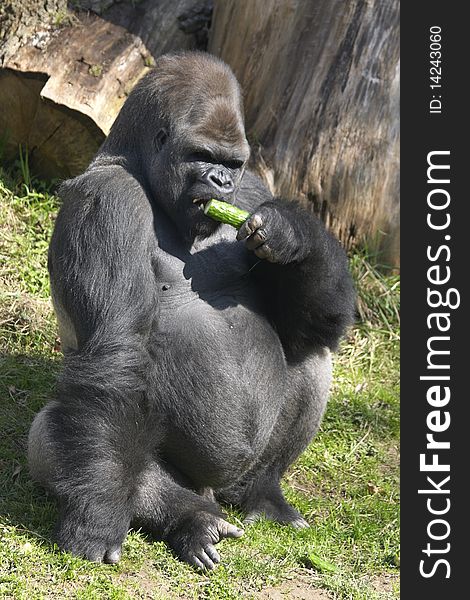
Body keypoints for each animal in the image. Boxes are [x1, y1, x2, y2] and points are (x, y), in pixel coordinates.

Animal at [27, 50, 354, 568]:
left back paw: (262, 494)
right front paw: (97, 521)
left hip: (239, 478)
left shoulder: (253, 190)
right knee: (58, 436)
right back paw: (188, 518)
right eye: (202, 156)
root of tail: (215, 491)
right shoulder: (108, 202)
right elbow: (117, 355)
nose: (220, 181)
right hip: (178, 476)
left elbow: (307, 321)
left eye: (231, 163)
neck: (133, 161)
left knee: (313, 350)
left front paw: (293, 234)